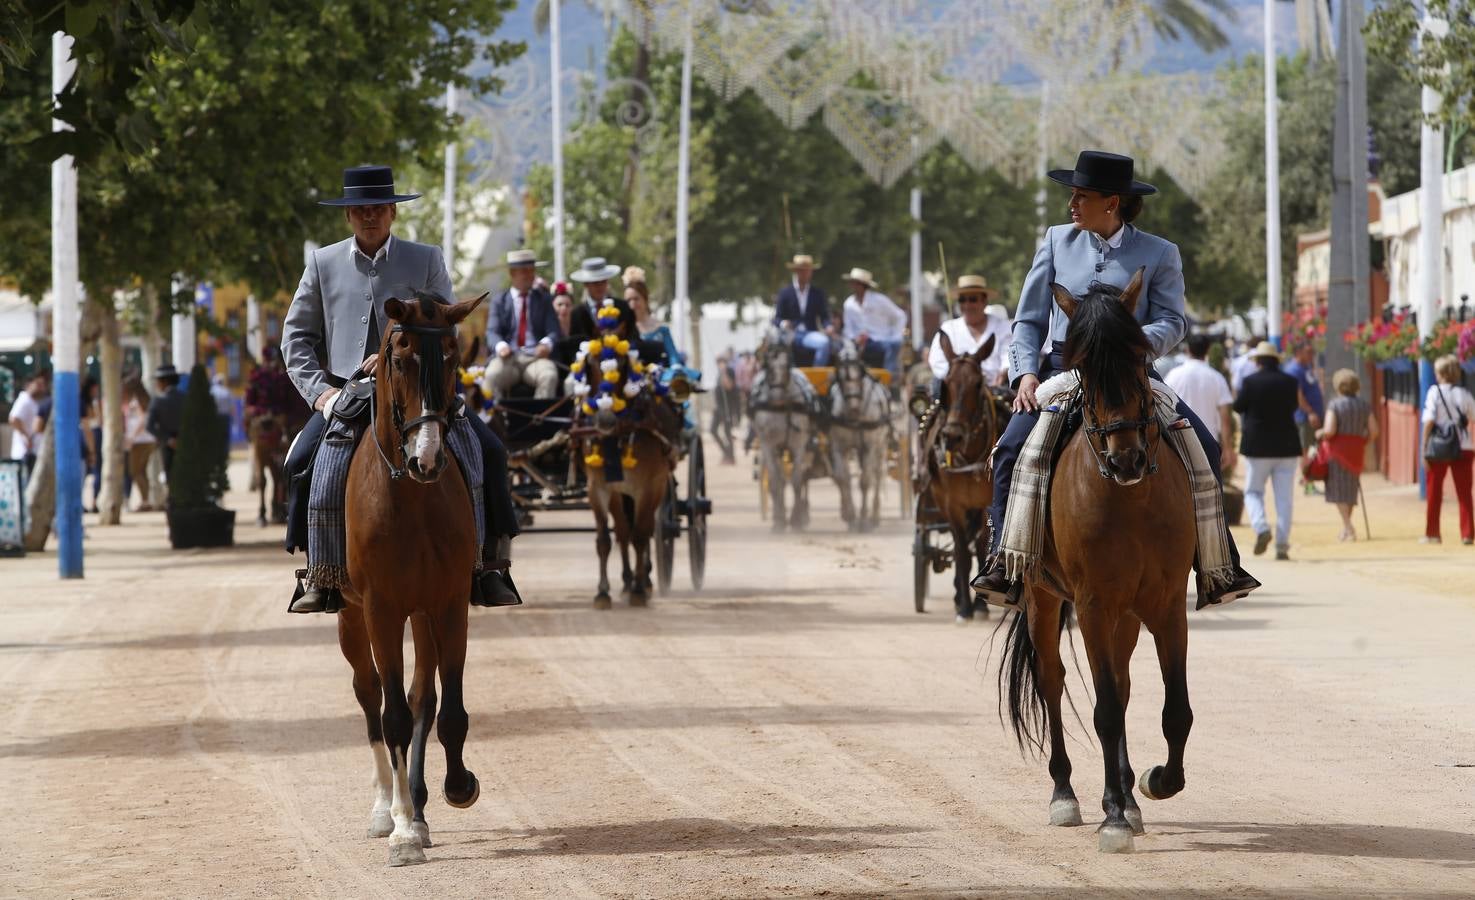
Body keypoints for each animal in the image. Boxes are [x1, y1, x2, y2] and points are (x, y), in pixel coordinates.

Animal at [336, 289, 483, 861]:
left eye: (455, 358)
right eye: (399, 361)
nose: (428, 460)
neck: (413, 499)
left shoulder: (448, 603)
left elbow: (448, 709)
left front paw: (456, 787)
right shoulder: (380, 610)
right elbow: (392, 714)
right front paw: (400, 831)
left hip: (422, 613)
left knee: (423, 697)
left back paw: (418, 807)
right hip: (353, 618)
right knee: (371, 695)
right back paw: (388, 809)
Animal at [826, 342, 890, 525]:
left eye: (859, 374)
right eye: (839, 377)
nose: (853, 407)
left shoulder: (869, 446)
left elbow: (865, 481)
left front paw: (863, 519)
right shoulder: (839, 446)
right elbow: (843, 478)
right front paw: (850, 515)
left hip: (880, 444)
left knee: (878, 472)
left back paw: (874, 514)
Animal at [920, 333, 1003, 619]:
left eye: (978, 384)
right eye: (945, 383)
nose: (952, 436)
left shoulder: (986, 504)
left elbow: (979, 548)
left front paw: (978, 605)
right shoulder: (953, 505)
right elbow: (961, 553)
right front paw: (965, 607)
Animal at [991, 271, 1197, 849]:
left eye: (1138, 359)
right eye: (1083, 367)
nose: (1126, 459)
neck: (1131, 501)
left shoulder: (1167, 605)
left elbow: (1175, 711)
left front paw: (1155, 782)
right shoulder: (1092, 605)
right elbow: (1103, 711)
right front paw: (1111, 818)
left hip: (1126, 614)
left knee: (1123, 687)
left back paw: (1129, 796)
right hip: (1044, 600)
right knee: (1052, 680)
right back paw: (1067, 795)